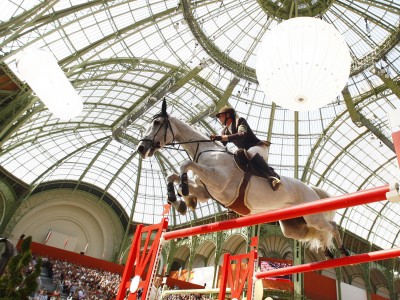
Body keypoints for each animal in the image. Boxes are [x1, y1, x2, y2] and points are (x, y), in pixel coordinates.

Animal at [138, 100, 350, 258]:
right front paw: (180, 201)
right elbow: (172, 175)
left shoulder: (219, 182)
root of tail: (311, 189)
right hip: (293, 227)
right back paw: (327, 251)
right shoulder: (207, 191)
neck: (206, 151)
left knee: (331, 226)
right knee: (317, 232)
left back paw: (343, 250)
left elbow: (184, 164)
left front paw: (183, 194)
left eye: (157, 123)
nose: (141, 148)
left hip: (312, 215)